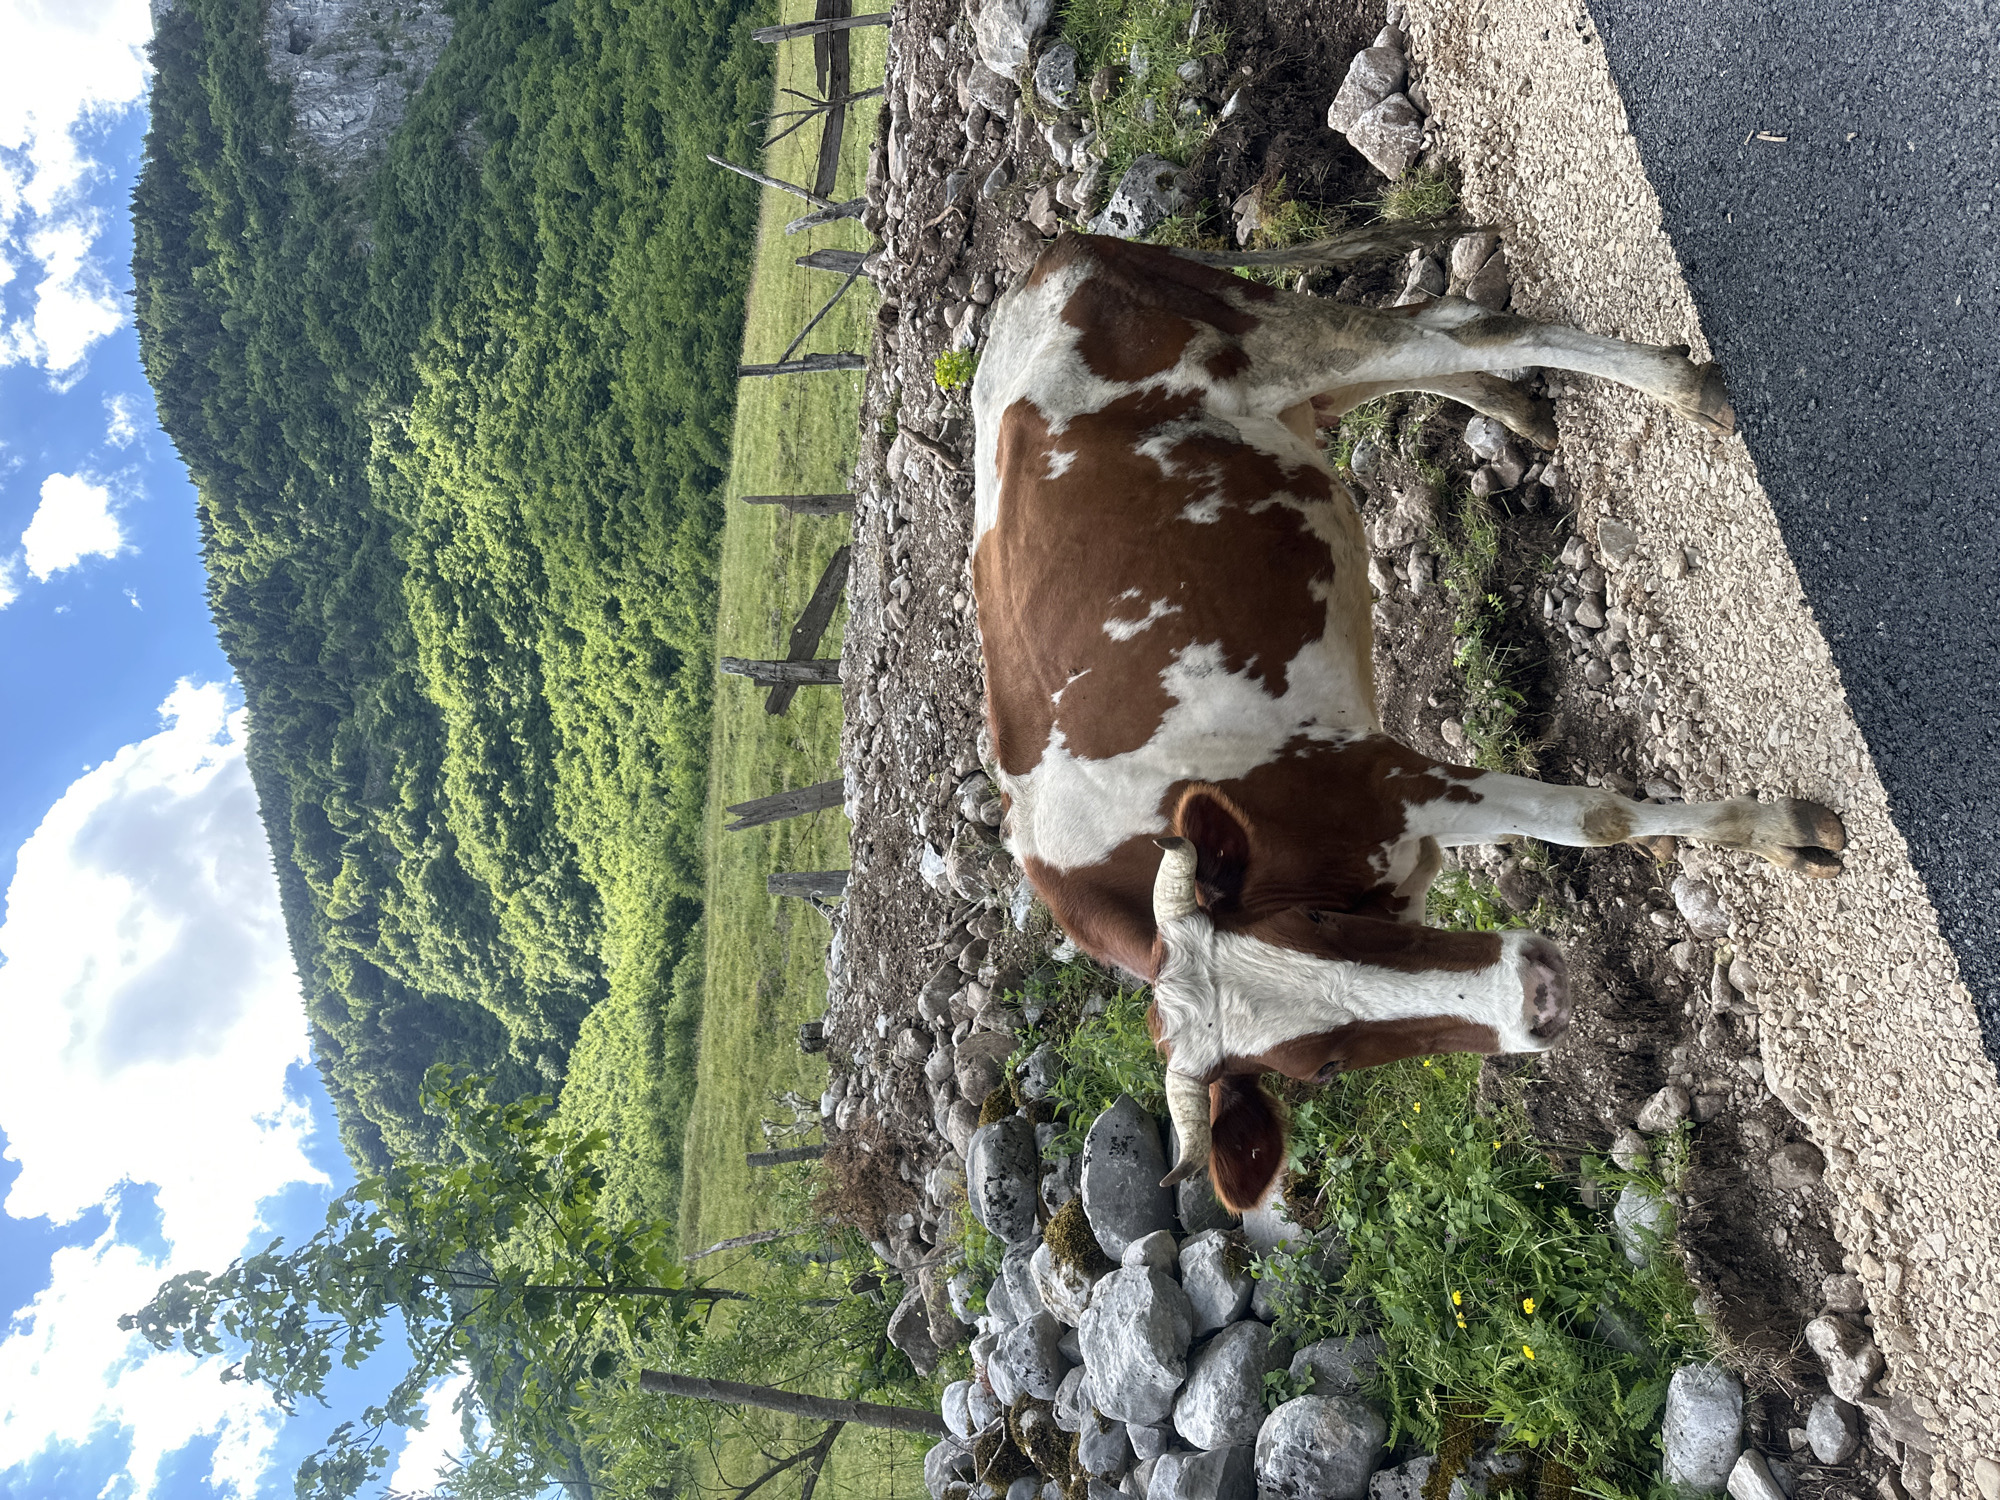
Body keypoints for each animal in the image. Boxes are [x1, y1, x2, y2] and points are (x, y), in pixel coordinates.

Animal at [969, 231, 1845, 1213]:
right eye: (1319, 1067)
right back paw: (1516, 409)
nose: (1536, 995)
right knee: (1443, 323)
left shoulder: (1387, 780)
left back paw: (1679, 387)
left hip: (1280, 341)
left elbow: (1594, 816)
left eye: (1319, 925)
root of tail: (1043, 264)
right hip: (1299, 402)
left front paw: (1779, 833)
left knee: (1474, 330)